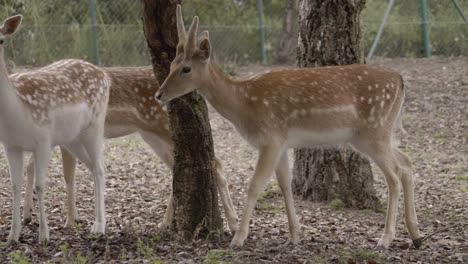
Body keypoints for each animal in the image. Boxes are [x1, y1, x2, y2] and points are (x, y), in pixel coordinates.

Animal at [1, 14, 110, 241]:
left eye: (2, 39)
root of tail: (105, 75)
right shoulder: (10, 144)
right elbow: (14, 185)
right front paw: (12, 236)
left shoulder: (43, 140)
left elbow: (40, 185)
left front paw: (44, 235)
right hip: (73, 139)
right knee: (92, 167)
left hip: (96, 126)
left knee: (100, 169)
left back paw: (99, 226)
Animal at [21, 66, 238, 233]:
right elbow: (36, 166)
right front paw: (28, 215)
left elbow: (67, 175)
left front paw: (70, 221)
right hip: (152, 135)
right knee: (179, 168)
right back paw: (165, 223)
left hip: (164, 129)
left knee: (217, 163)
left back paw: (233, 225)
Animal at [154, 5, 424, 250]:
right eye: (171, 64)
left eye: (186, 68)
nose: (159, 94)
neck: (244, 103)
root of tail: (400, 80)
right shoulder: (282, 143)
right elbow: (284, 184)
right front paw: (294, 235)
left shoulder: (270, 137)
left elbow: (255, 184)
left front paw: (238, 239)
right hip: (372, 135)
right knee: (407, 163)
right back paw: (416, 235)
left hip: (374, 130)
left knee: (394, 175)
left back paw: (385, 240)